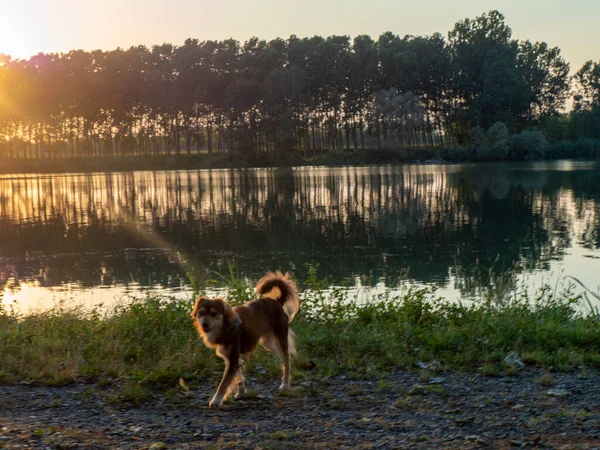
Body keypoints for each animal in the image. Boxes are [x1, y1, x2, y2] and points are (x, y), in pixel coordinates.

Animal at [191, 270, 298, 408]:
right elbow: (238, 378)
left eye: (214, 314)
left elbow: (224, 383)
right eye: (201, 313)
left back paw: (285, 384)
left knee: (286, 360)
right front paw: (241, 393)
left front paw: (216, 400)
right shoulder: (231, 358)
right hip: (268, 342)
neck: (226, 327)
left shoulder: (232, 358)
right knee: (282, 356)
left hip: (280, 337)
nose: (204, 324)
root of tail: (277, 301)